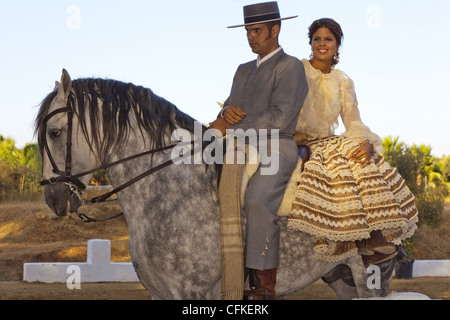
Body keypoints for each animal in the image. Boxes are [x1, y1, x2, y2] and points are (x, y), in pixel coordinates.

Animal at [36, 69, 398, 300]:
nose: (53, 198)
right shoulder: (159, 293)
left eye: (54, 132)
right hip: (340, 276)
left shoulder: (193, 292)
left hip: (369, 279)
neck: (170, 193)